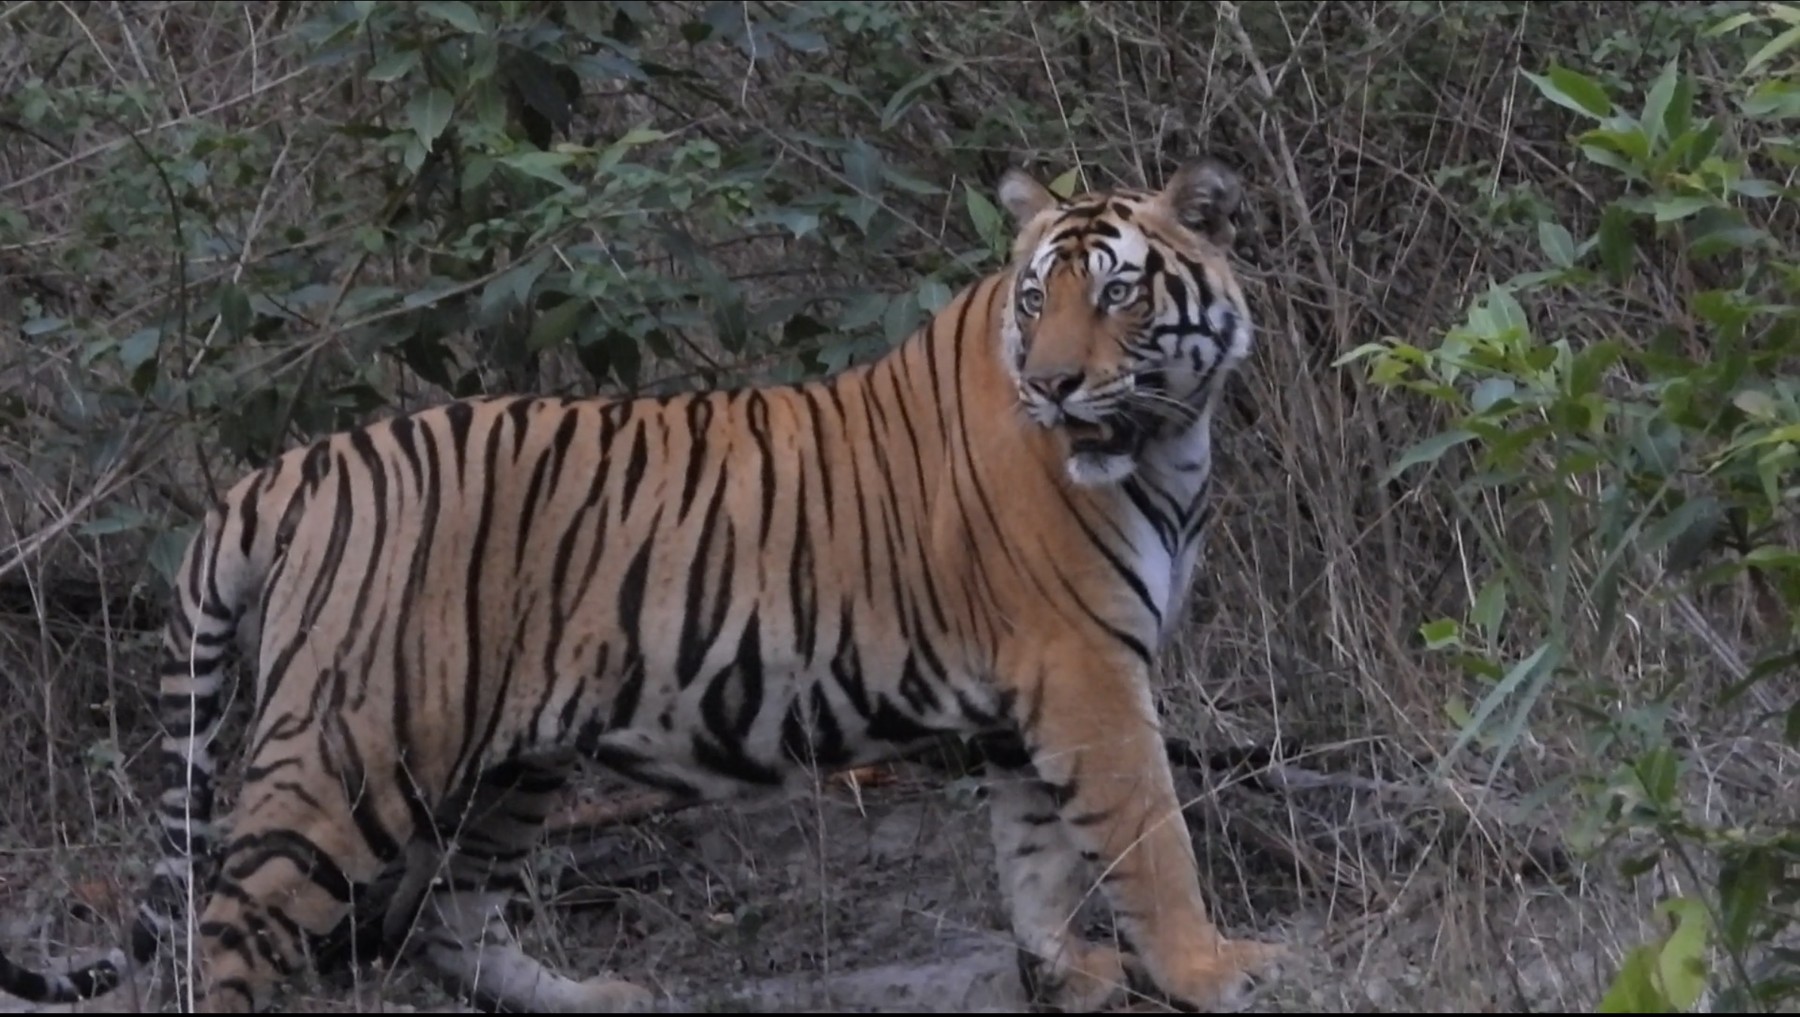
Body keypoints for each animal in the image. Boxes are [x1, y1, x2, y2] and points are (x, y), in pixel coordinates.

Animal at [0, 157, 1283, 1013]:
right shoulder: (1086, 671)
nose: (1056, 386)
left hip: (513, 759)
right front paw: (1215, 969)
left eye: (1116, 294)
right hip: (350, 750)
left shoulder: (1033, 692)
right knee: (232, 922)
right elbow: (1148, 835)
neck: (1170, 442)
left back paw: (592, 998)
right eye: (1035, 299)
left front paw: (1068, 970)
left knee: (445, 920)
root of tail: (288, 470)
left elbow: (1036, 852)